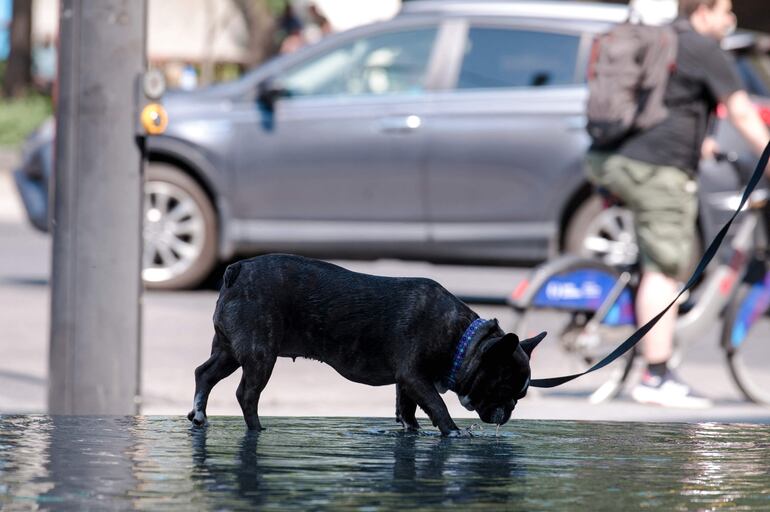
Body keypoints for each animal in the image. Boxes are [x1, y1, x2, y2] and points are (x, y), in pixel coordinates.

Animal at [188, 254, 544, 434]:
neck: (462, 340)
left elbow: (408, 408)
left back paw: (200, 415)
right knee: (246, 393)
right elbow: (437, 405)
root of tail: (238, 269)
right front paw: (452, 432)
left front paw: (411, 430)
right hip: (260, 354)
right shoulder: (416, 377)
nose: (508, 412)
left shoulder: (407, 381)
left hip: (230, 351)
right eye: (504, 389)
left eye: (520, 396)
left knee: (204, 373)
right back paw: (257, 428)